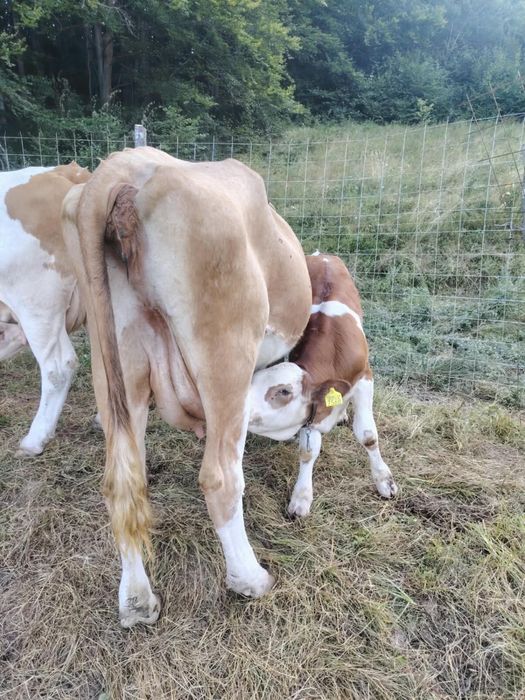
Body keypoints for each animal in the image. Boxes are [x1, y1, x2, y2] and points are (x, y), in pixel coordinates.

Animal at [61, 146, 312, 627]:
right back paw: (250, 578)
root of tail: (122, 166)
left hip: (116, 360)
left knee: (123, 480)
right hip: (225, 352)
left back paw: (137, 600)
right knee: (220, 476)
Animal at [248, 252, 398, 517]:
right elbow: (308, 450)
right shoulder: (313, 411)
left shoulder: (365, 378)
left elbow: (368, 436)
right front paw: (301, 496)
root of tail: (323, 255)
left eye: (284, 391)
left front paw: (384, 481)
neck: (335, 350)